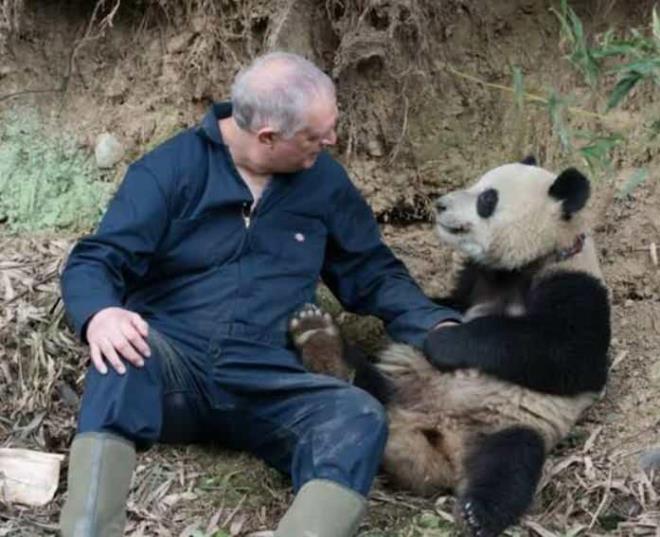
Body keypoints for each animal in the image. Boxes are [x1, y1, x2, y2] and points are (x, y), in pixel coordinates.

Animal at [289, 158, 611, 537]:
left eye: (487, 199)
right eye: (477, 184)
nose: (440, 205)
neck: (527, 261)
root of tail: (432, 435)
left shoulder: (576, 286)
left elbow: (571, 356)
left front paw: (443, 341)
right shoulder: (473, 279)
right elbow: (440, 304)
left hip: (508, 425)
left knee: (510, 464)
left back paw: (479, 512)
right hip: (399, 385)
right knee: (369, 384)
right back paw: (320, 339)